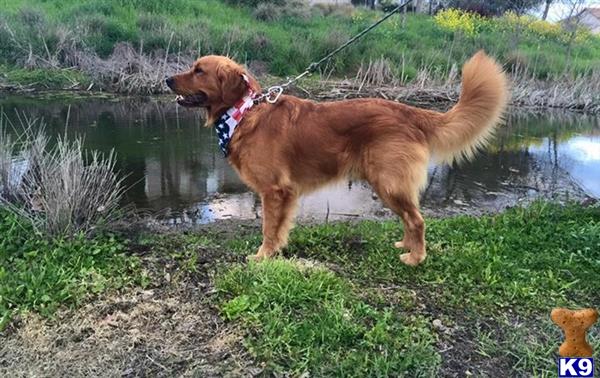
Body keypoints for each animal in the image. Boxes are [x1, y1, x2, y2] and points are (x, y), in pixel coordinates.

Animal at [166, 51, 508, 266]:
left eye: (199, 70)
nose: (167, 80)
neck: (246, 111)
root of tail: (408, 111)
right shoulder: (285, 194)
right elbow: (279, 229)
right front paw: (276, 252)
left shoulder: (274, 191)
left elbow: (268, 228)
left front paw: (263, 256)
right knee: (410, 219)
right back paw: (406, 246)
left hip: (389, 183)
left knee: (417, 220)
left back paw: (415, 258)